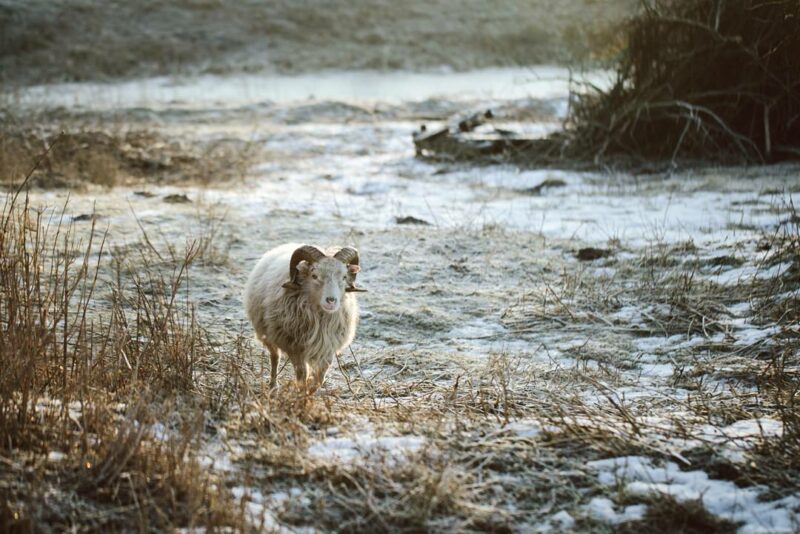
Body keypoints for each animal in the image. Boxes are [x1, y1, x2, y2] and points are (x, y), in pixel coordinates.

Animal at [242, 244, 368, 394]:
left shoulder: (328, 347)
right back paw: (273, 386)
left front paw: (311, 391)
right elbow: (302, 373)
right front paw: (302, 393)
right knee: (275, 357)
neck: (320, 317)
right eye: (314, 276)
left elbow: (320, 377)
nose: (331, 301)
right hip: (267, 333)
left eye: (344, 277)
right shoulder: (294, 346)